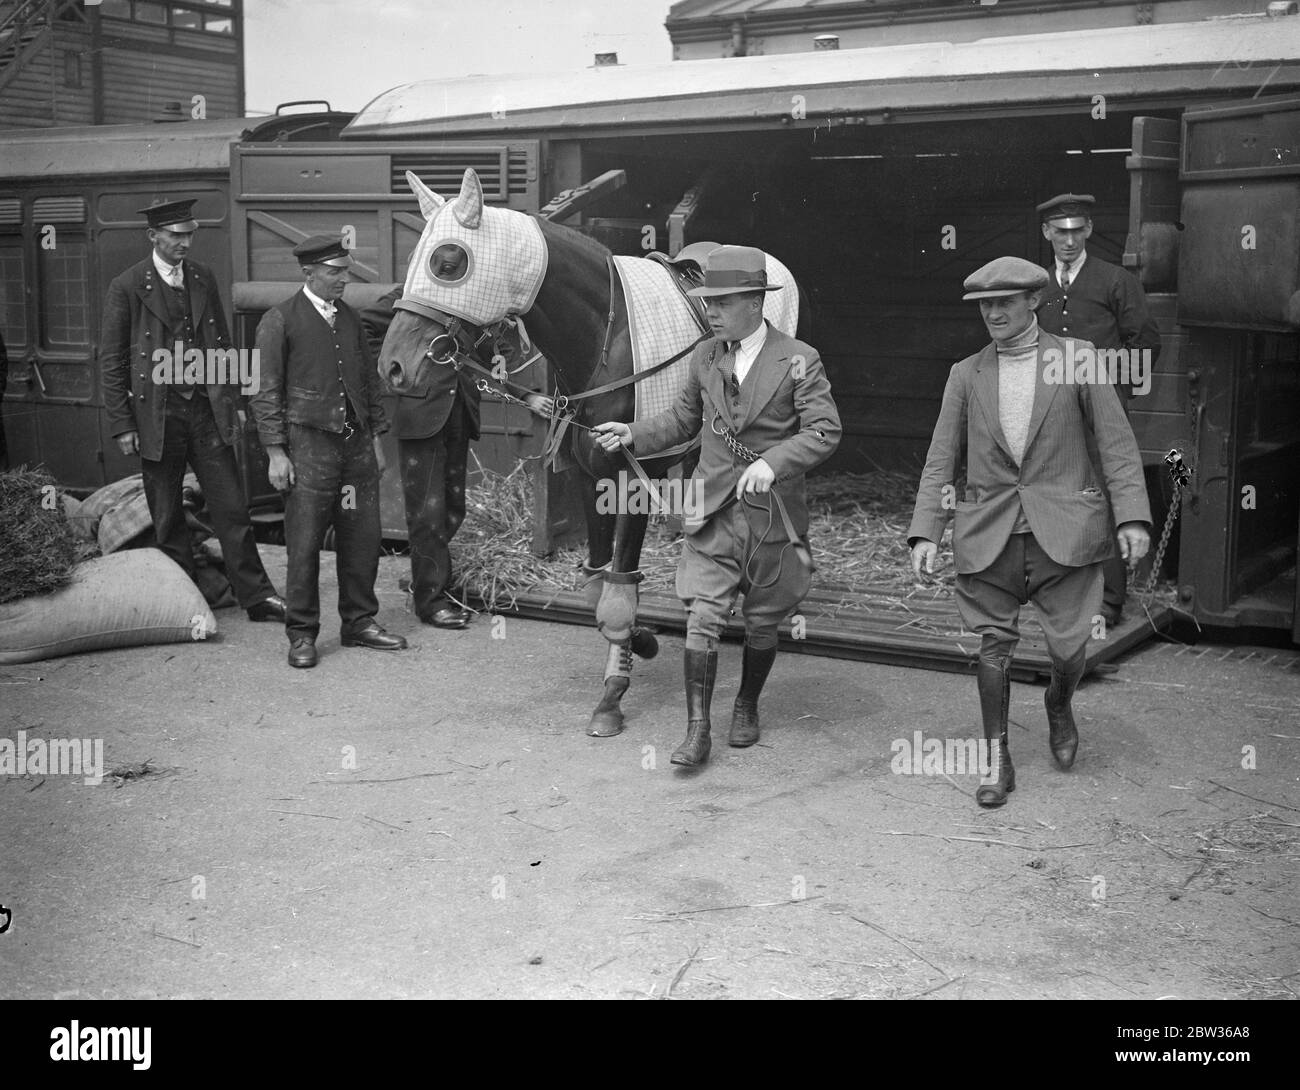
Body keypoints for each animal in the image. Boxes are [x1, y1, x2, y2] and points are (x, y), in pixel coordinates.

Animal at [379, 169, 795, 744]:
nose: (393, 366)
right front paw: (640, 643)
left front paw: (613, 696)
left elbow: (619, 591)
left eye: (448, 261)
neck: (607, 338)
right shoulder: (587, 474)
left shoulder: (632, 477)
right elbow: (601, 589)